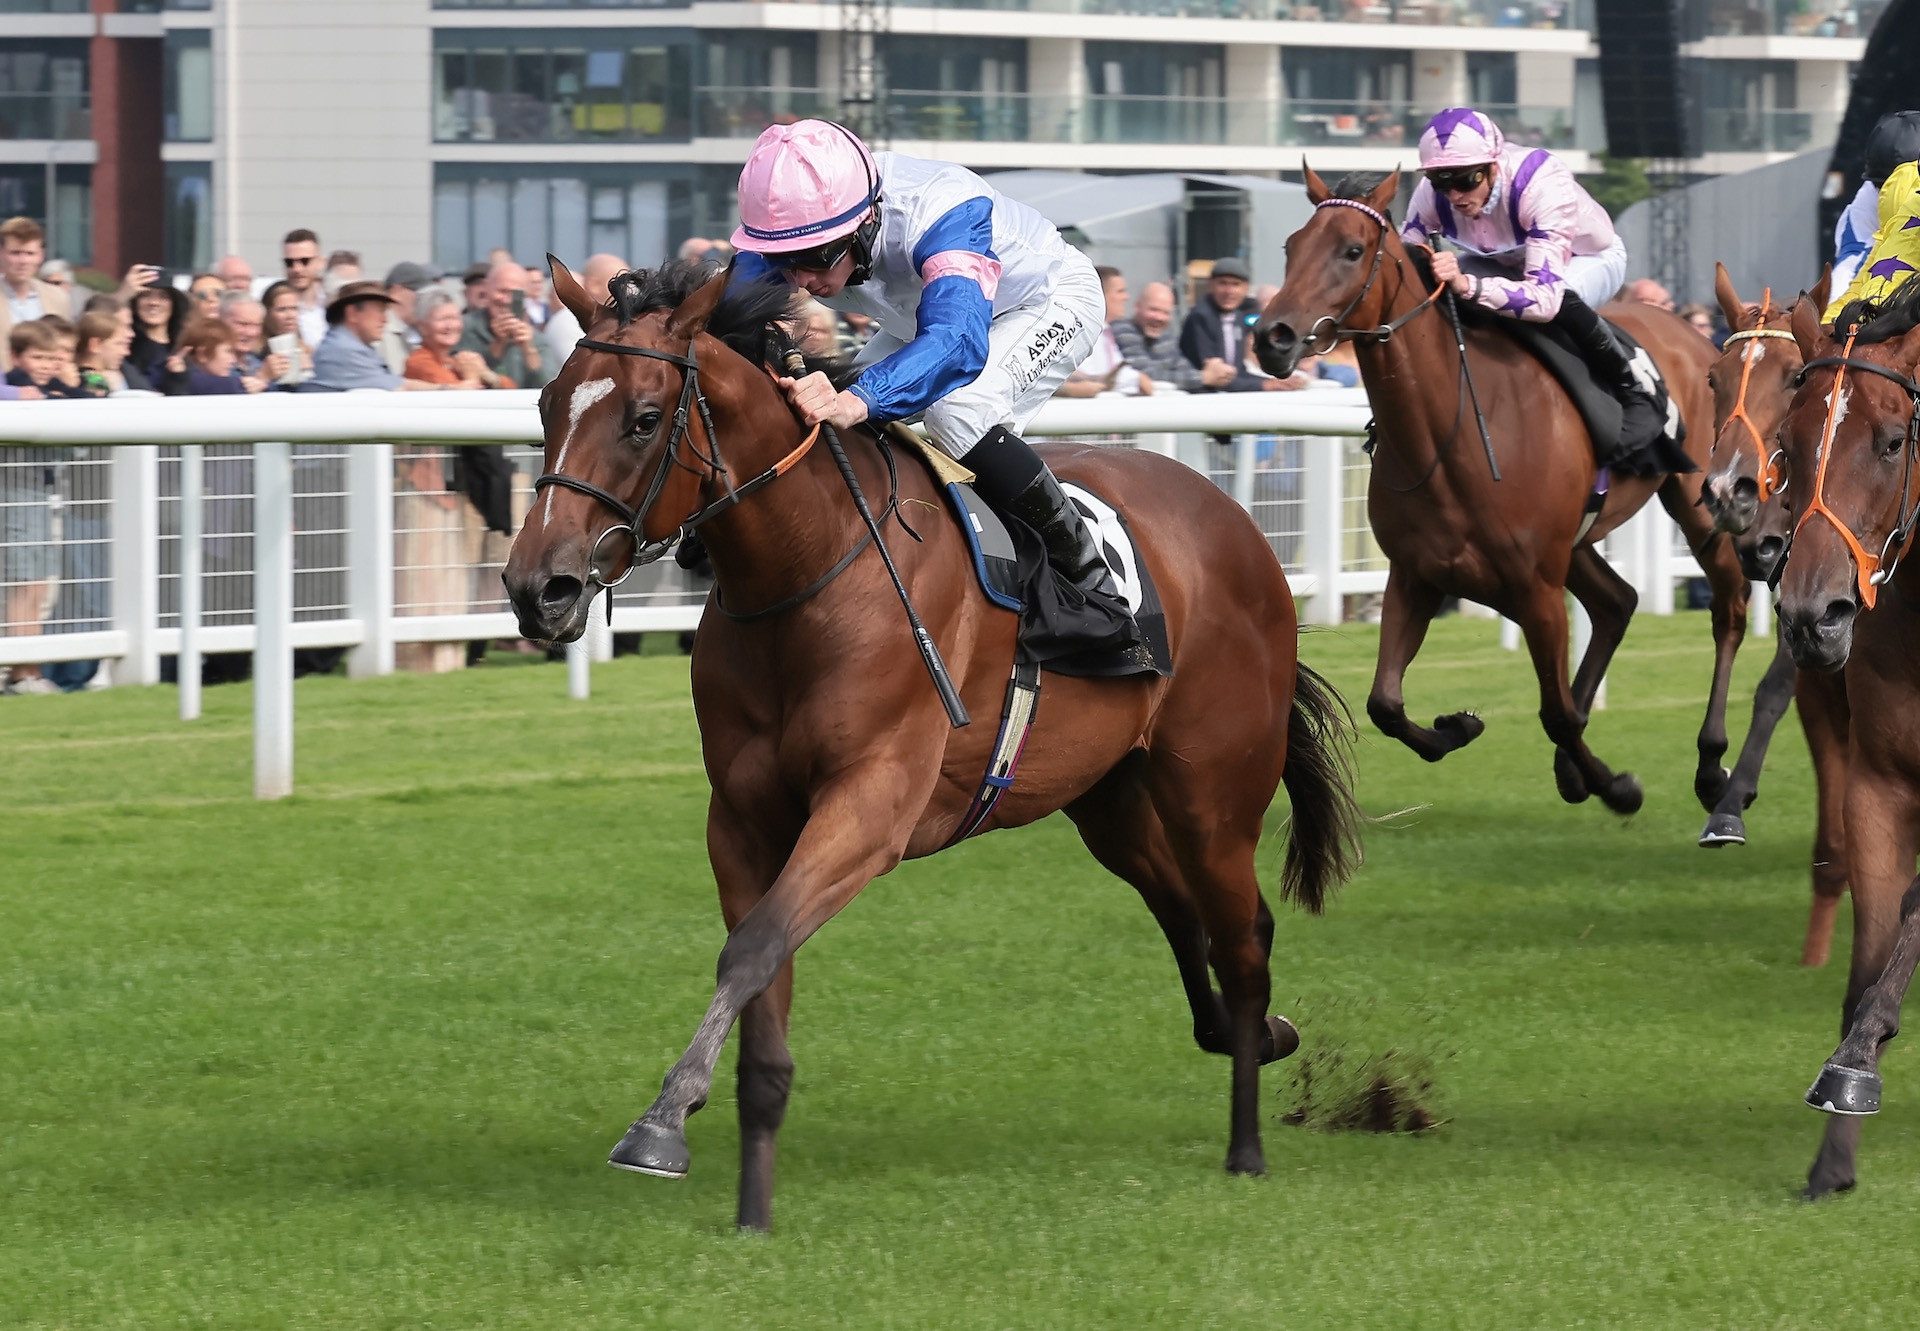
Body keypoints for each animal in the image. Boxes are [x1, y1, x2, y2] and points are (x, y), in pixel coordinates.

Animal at [499, 263, 1367, 1236]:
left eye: (645, 419)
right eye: (547, 403)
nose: (537, 587)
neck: (807, 565)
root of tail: (1241, 528)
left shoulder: (870, 803)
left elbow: (751, 950)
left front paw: (660, 1123)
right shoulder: (746, 818)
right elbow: (763, 976)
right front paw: (752, 1204)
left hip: (1212, 793)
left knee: (1242, 937)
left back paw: (1247, 1142)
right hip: (1109, 799)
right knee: (1186, 914)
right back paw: (1258, 1036)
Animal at [1251, 173, 1751, 822]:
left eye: (1352, 251)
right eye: (1290, 247)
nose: (1272, 338)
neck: (1451, 433)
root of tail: (1697, 334)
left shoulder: (1536, 586)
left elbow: (1557, 712)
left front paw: (1618, 786)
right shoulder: (1417, 574)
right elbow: (1384, 703)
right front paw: (1458, 727)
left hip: (1695, 499)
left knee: (1728, 607)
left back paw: (1711, 765)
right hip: (1575, 543)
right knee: (1617, 602)